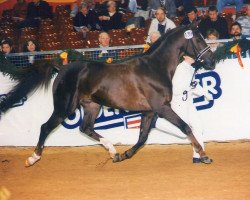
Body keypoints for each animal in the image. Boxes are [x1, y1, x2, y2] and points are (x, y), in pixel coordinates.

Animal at [0, 23, 215, 167]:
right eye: (198, 39)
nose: (211, 61)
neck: (154, 68)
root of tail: (61, 68)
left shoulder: (148, 111)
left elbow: (143, 137)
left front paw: (123, 155)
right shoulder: (162, 108)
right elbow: (185, 127)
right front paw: (204, 155)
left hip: (91, 105)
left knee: (85, 128)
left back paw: (112, 151)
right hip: (64, 107)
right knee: (45, 127)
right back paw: (32, 158)